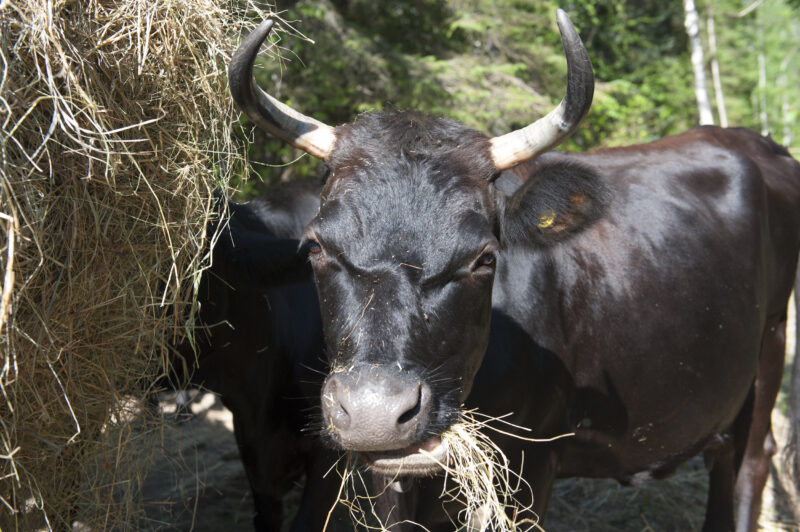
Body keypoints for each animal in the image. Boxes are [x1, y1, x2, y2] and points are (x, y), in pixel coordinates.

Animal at [225, 9, 800, 532]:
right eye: (317, 247)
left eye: (484, 258)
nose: (374, 413)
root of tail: (753, 143)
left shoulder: (532, 465)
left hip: (772, 342)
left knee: (752, 461)